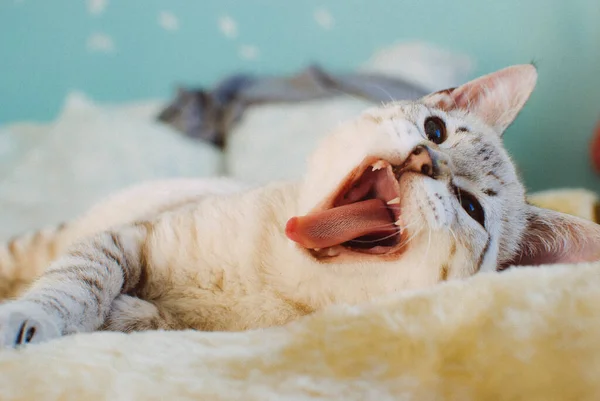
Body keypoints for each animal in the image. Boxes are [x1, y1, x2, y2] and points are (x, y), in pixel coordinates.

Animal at [1, 63, 600, 346]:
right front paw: (32, 319)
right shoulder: (128, 236)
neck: (274, 273)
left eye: (472, 208)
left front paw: (125, 316)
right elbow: (75, 286)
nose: (424, 159)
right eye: (436, 130)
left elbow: (142, 320)